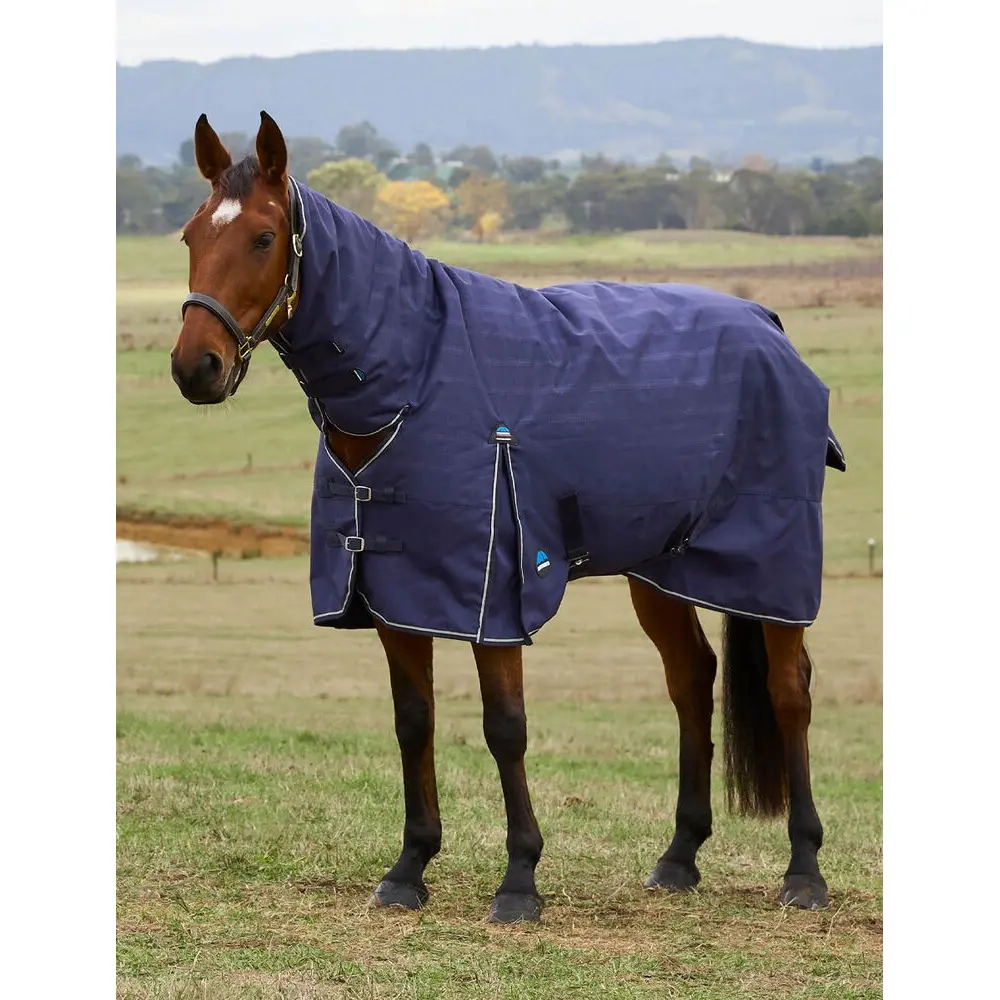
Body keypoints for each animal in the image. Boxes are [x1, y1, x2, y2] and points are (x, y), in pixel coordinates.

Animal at [169, 111, 845, 924]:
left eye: (264, 238)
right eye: (190, 235)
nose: (195, 367)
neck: (416, 376)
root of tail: (769, 326)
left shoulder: (493, 594)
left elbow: (505, 727)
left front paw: (519, 879)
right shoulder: (396, 591)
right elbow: (413, 721)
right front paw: (409, 868)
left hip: (771, 568)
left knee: (789, 691)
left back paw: (804, 870)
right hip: (658, 570)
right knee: (691, 680)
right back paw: (679, 856)